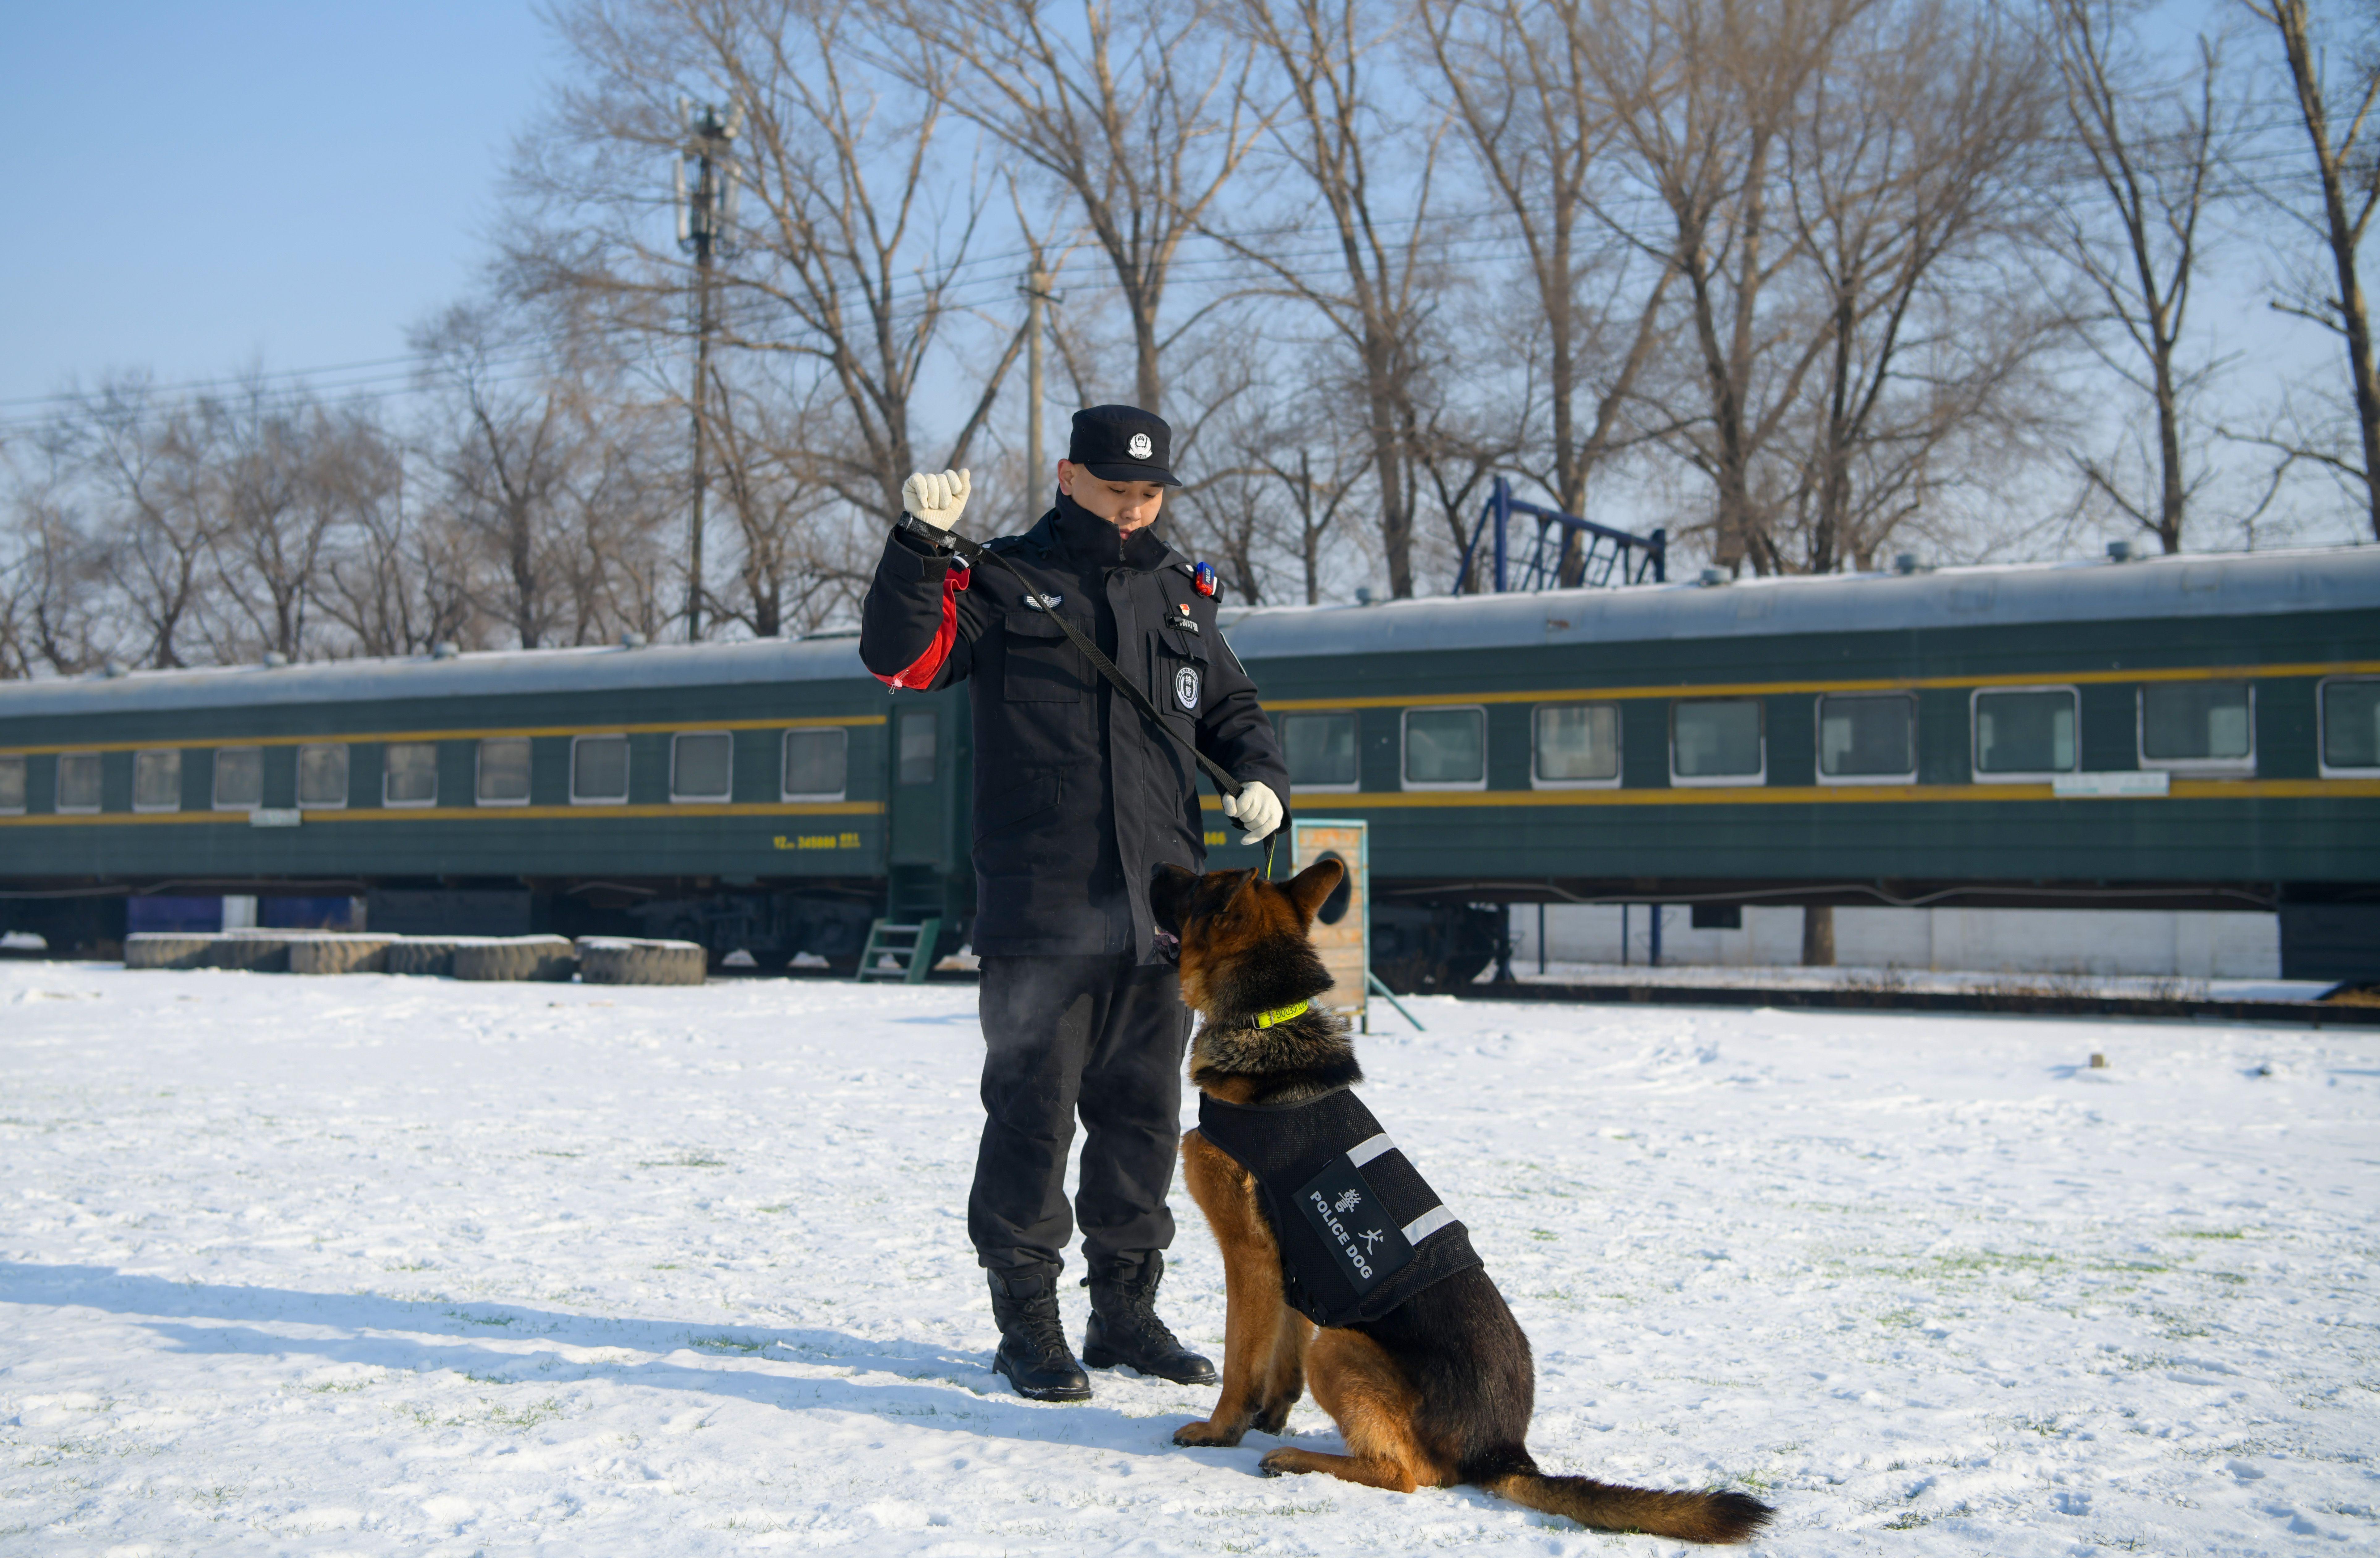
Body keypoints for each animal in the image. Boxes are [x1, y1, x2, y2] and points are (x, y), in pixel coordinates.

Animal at [1142, 866, 1780, 1551]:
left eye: (1196, 884)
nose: (1154, 868)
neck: (1265, 1019)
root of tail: (1503, 1451)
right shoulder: (1295, 1271)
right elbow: (1279, 1361)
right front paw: (1267, 1419)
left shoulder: (1248, 1257)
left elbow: (1241, 1361)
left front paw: (1220, 1431)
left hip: (1341, 1346)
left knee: (1404, 1474)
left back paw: (1301, 1460)